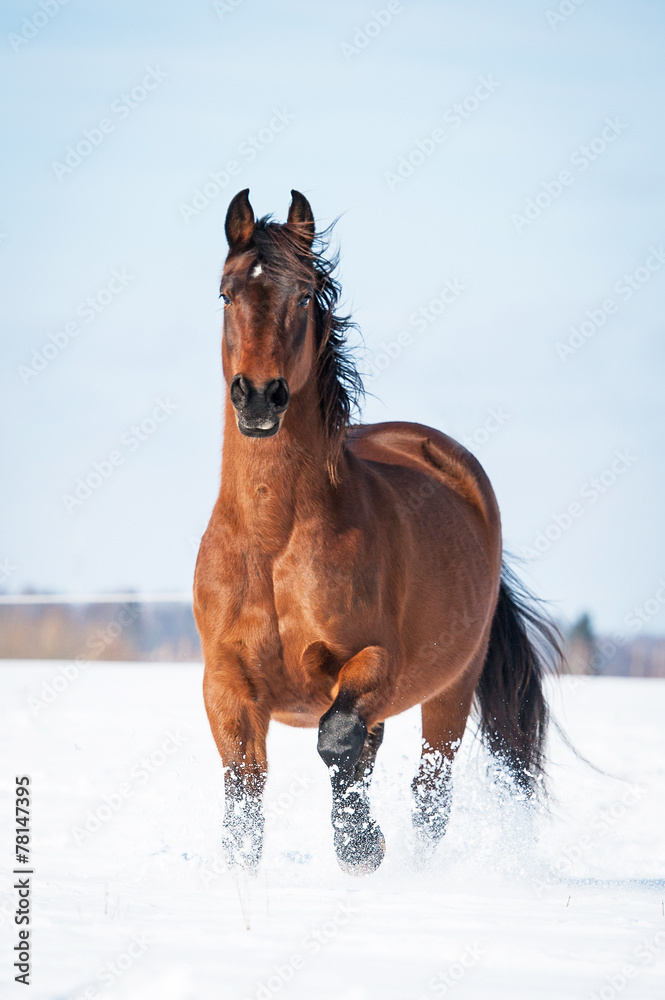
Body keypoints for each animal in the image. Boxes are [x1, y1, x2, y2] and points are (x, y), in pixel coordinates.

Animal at [193, 188, 561, 876]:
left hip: (451, 688)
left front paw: (362, 846)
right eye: (226, 294)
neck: (274, 540)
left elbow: (337, 738)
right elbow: (244, 788)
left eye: (303, 296)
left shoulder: (375, 662)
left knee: (430, 787)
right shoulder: (226, 681)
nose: (258, 397)